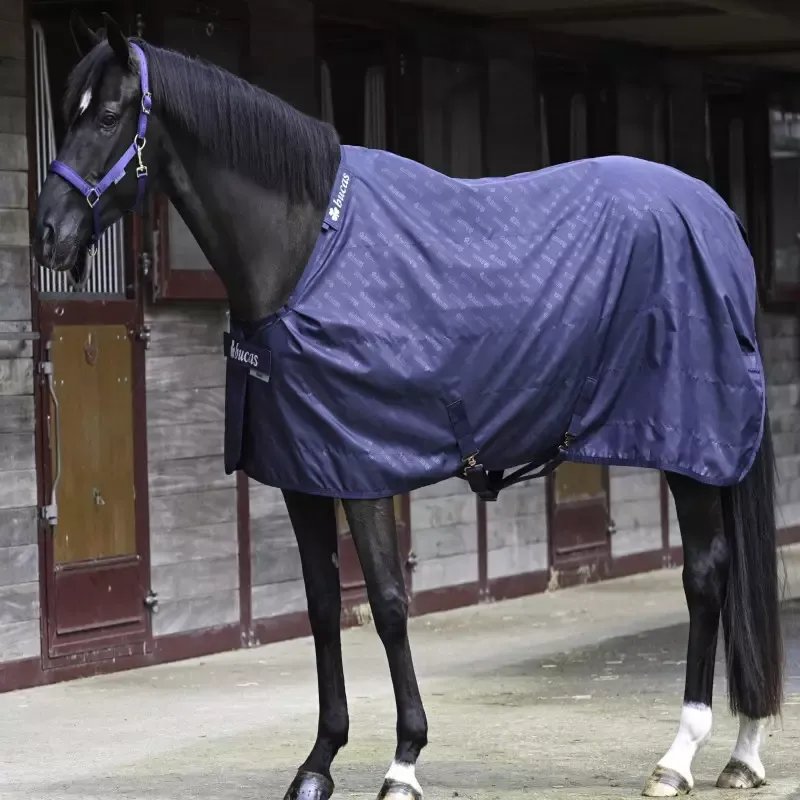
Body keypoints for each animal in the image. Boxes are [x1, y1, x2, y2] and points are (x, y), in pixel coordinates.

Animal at [31, 12, 784, 798]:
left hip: (691, 448)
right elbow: (324, 607)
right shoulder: (305, 474)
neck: (308, 254)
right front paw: (318, 762)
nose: (47, 232)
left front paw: (404, 760)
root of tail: (717, 213)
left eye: (108, 116)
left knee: (707, 576)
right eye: (64, 112)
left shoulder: (363, 470)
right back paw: (742, 752)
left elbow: (389, 605)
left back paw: (679, 755)